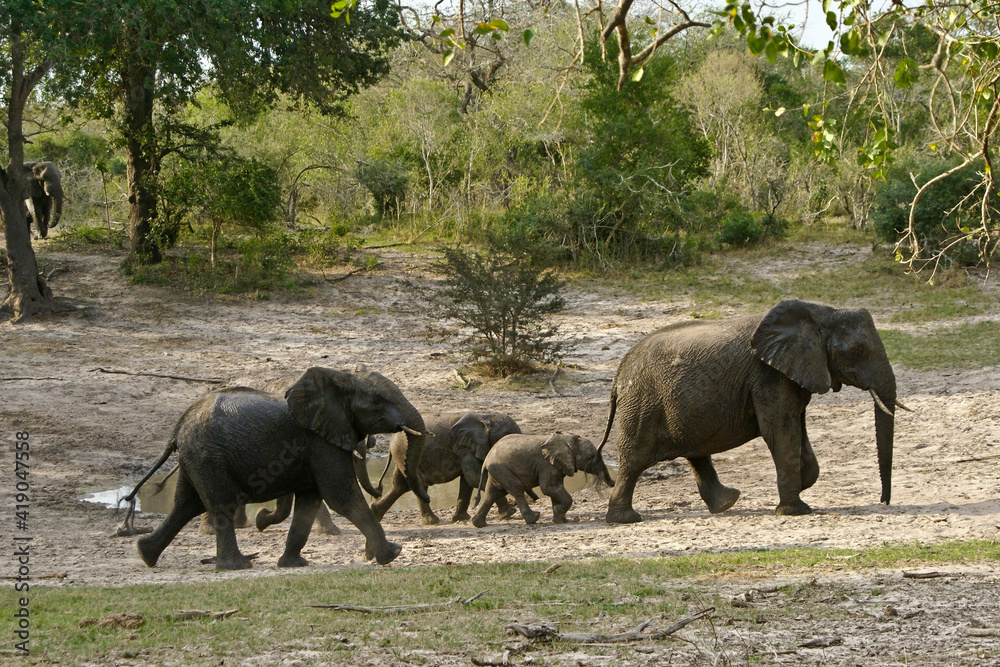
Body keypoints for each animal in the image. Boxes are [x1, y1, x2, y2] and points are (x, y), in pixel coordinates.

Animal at [126, 367, 430, 570]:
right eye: (378, 401)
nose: (378, 487)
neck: (339, 379)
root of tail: (180, 423)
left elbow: (309, 501)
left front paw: (293, 564)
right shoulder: (319, 442)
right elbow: (340, 495)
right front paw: (393, 554)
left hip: (196, 457)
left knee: (185, 505)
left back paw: (145, 554)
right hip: (208, 456)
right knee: (219, 503)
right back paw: (236, 566)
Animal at [370, 411, 523, 525]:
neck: (487, 417)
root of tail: (391, 441)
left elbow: (467, 481)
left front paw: (461, 519)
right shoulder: (464, 448)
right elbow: (473, 477)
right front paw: (510, 513)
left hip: (402, 457)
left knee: (401, 486)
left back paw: (375, 513)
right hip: (404, 453)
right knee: (417, 484)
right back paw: (432, 522)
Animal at [471, 433, 615, 527]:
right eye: (591, 457)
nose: (614, 483)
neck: (566, 438)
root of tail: (486, 460)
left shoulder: (556, 465)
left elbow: (555, 489)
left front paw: (559, 520)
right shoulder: (546, 464)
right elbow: (549, 488)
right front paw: (558, 512)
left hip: (497, 471)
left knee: (493, 493)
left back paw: (479, 524)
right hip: (502, 469)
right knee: (517, 489)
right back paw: (534, 518)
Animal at [599, 299, 908, 524]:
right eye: (857, 350)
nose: (884, 502)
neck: (821, 312)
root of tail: (618, 375)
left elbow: (796, 428)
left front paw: (802, 484)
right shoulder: (768, 377)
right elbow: (780, 431)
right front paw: (796, 510)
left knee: (694, 451)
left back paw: (727, 502)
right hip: (642, 404)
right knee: (635, 459)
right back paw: (626, 519)